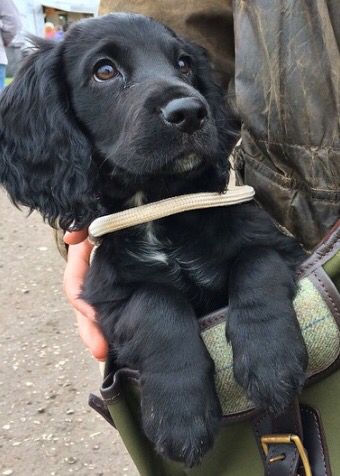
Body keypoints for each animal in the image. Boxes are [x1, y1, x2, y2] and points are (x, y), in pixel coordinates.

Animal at [0, 13, 308, 464]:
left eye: (183, 64)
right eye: (104, 70)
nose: (191, 113)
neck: (159, 209)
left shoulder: (280, 245)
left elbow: (257, 263)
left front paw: (272, 360)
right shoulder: (110, 298)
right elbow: (156, 303)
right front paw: (179, 414)